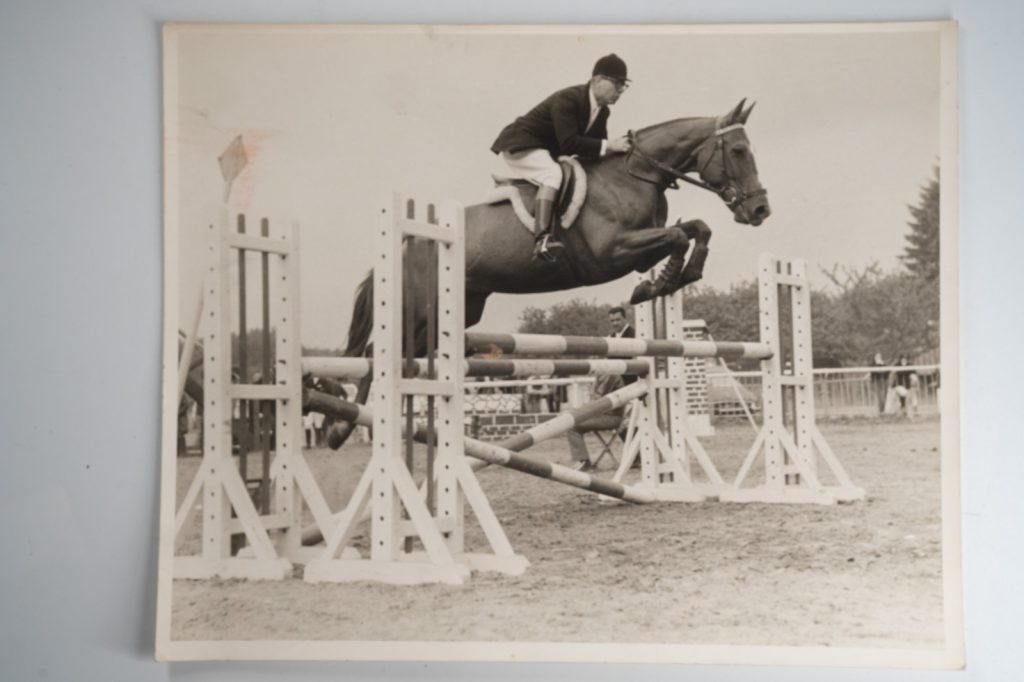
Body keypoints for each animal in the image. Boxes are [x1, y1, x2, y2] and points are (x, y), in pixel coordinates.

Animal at [326, 99, 771, 448]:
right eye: (737, 150)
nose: (760, 210)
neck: (633, 175)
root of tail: (409, 241)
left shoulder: (640, 248)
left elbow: (697, 229)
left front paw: (677, 277)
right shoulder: (614, 251)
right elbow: (679, 235)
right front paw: (657, 284)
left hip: (455, 312)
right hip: (418, 308)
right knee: (374, 353)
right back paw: (339, 428)